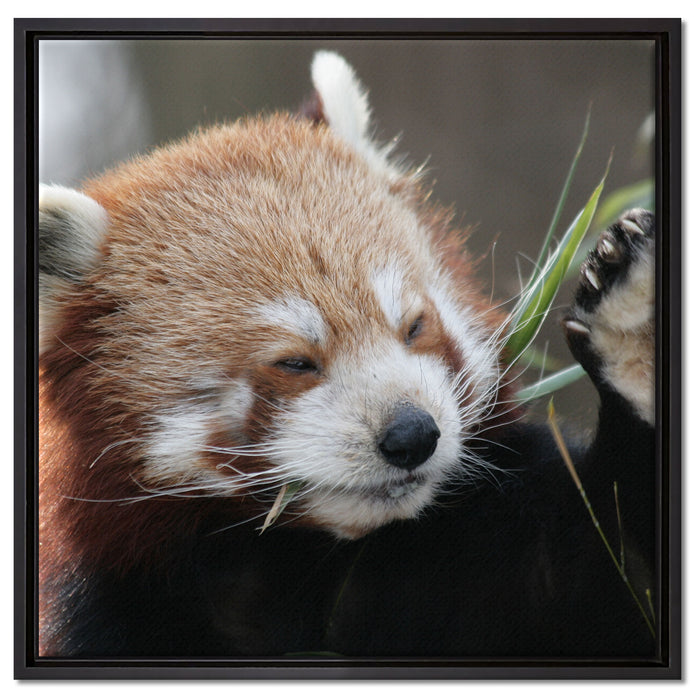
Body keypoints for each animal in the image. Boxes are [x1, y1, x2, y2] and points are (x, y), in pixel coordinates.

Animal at [37, 51, 656, 658]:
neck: (309, 561)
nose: (412, 436)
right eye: (296, 362)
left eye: (414, 327)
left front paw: (634, 327)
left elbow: (620, 578)